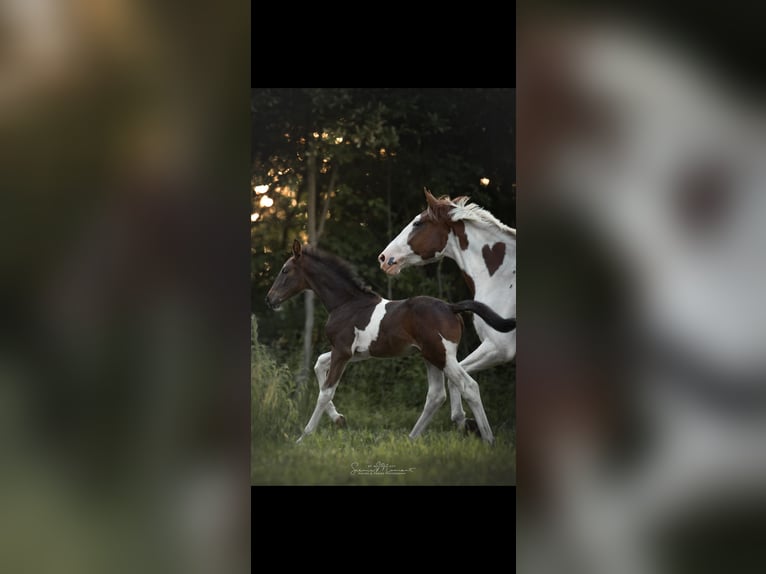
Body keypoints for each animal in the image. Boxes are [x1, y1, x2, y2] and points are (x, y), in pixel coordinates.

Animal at [265, 239, 515, 444]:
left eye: (285, 270)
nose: (270, 299)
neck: (346, 304)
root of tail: (451, 307)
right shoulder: (353, 354)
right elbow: (318, 364)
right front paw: (338, 419)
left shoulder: (342, 352)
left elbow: (326, 391)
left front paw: (303, 437)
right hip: (430, 357)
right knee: (436, 395)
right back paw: (412, 438)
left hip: (442, 355)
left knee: (468, 386)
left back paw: (487, 438)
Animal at [378, 190, 516, 430]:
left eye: (418, 223)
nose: (384, 258)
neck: (504, 279)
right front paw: (464, 422)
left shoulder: (500, 347)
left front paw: (464, 422)